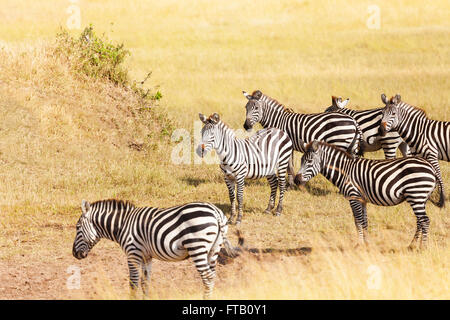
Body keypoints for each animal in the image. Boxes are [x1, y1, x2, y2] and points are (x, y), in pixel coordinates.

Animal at [73, 199, 243, 298]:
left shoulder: (133, 253)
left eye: (77, 227)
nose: (75, 254)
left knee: (207, 276)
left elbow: (133, 283)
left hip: (197, 247)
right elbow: (145, 282)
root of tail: (216, 212)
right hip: (214, 250)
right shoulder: (146, 256)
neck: (123, 225)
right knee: (212, 276)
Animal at [294, 139, 444, 248]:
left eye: (309, 161)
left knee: (425, 220)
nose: (296, 180)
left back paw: (423, 248)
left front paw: (359, 244)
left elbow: (358, 221)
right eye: (301, 160)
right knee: (420, 221)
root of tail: (430, 167)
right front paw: (367, 243)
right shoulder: (362, 199)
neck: (345, 170)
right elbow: (364, 221)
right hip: (420, 198)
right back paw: (412, 245)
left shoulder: (353, 196)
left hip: (416, 194)